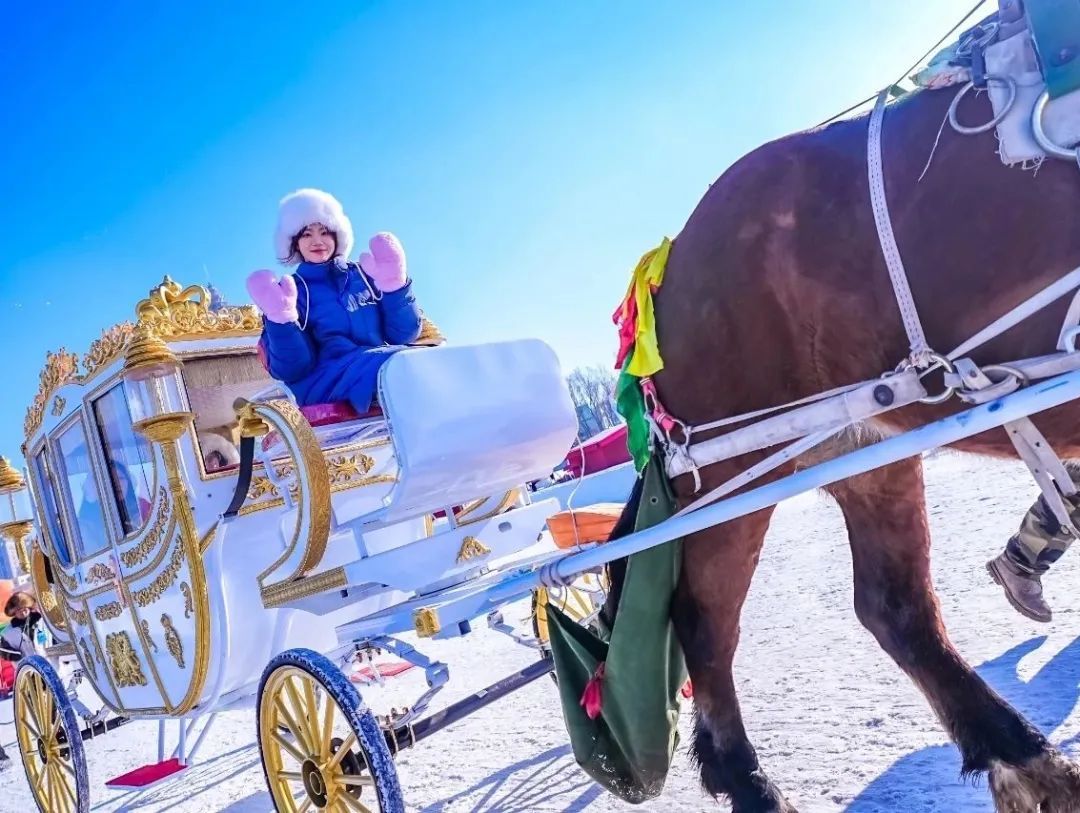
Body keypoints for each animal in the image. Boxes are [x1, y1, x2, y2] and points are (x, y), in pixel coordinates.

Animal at [643, 80, 1080, 807]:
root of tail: (666, 262)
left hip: (863, 449)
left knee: (894, 607)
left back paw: (1024, 758)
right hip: (737, 468)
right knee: (704, 619)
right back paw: (750, 781)